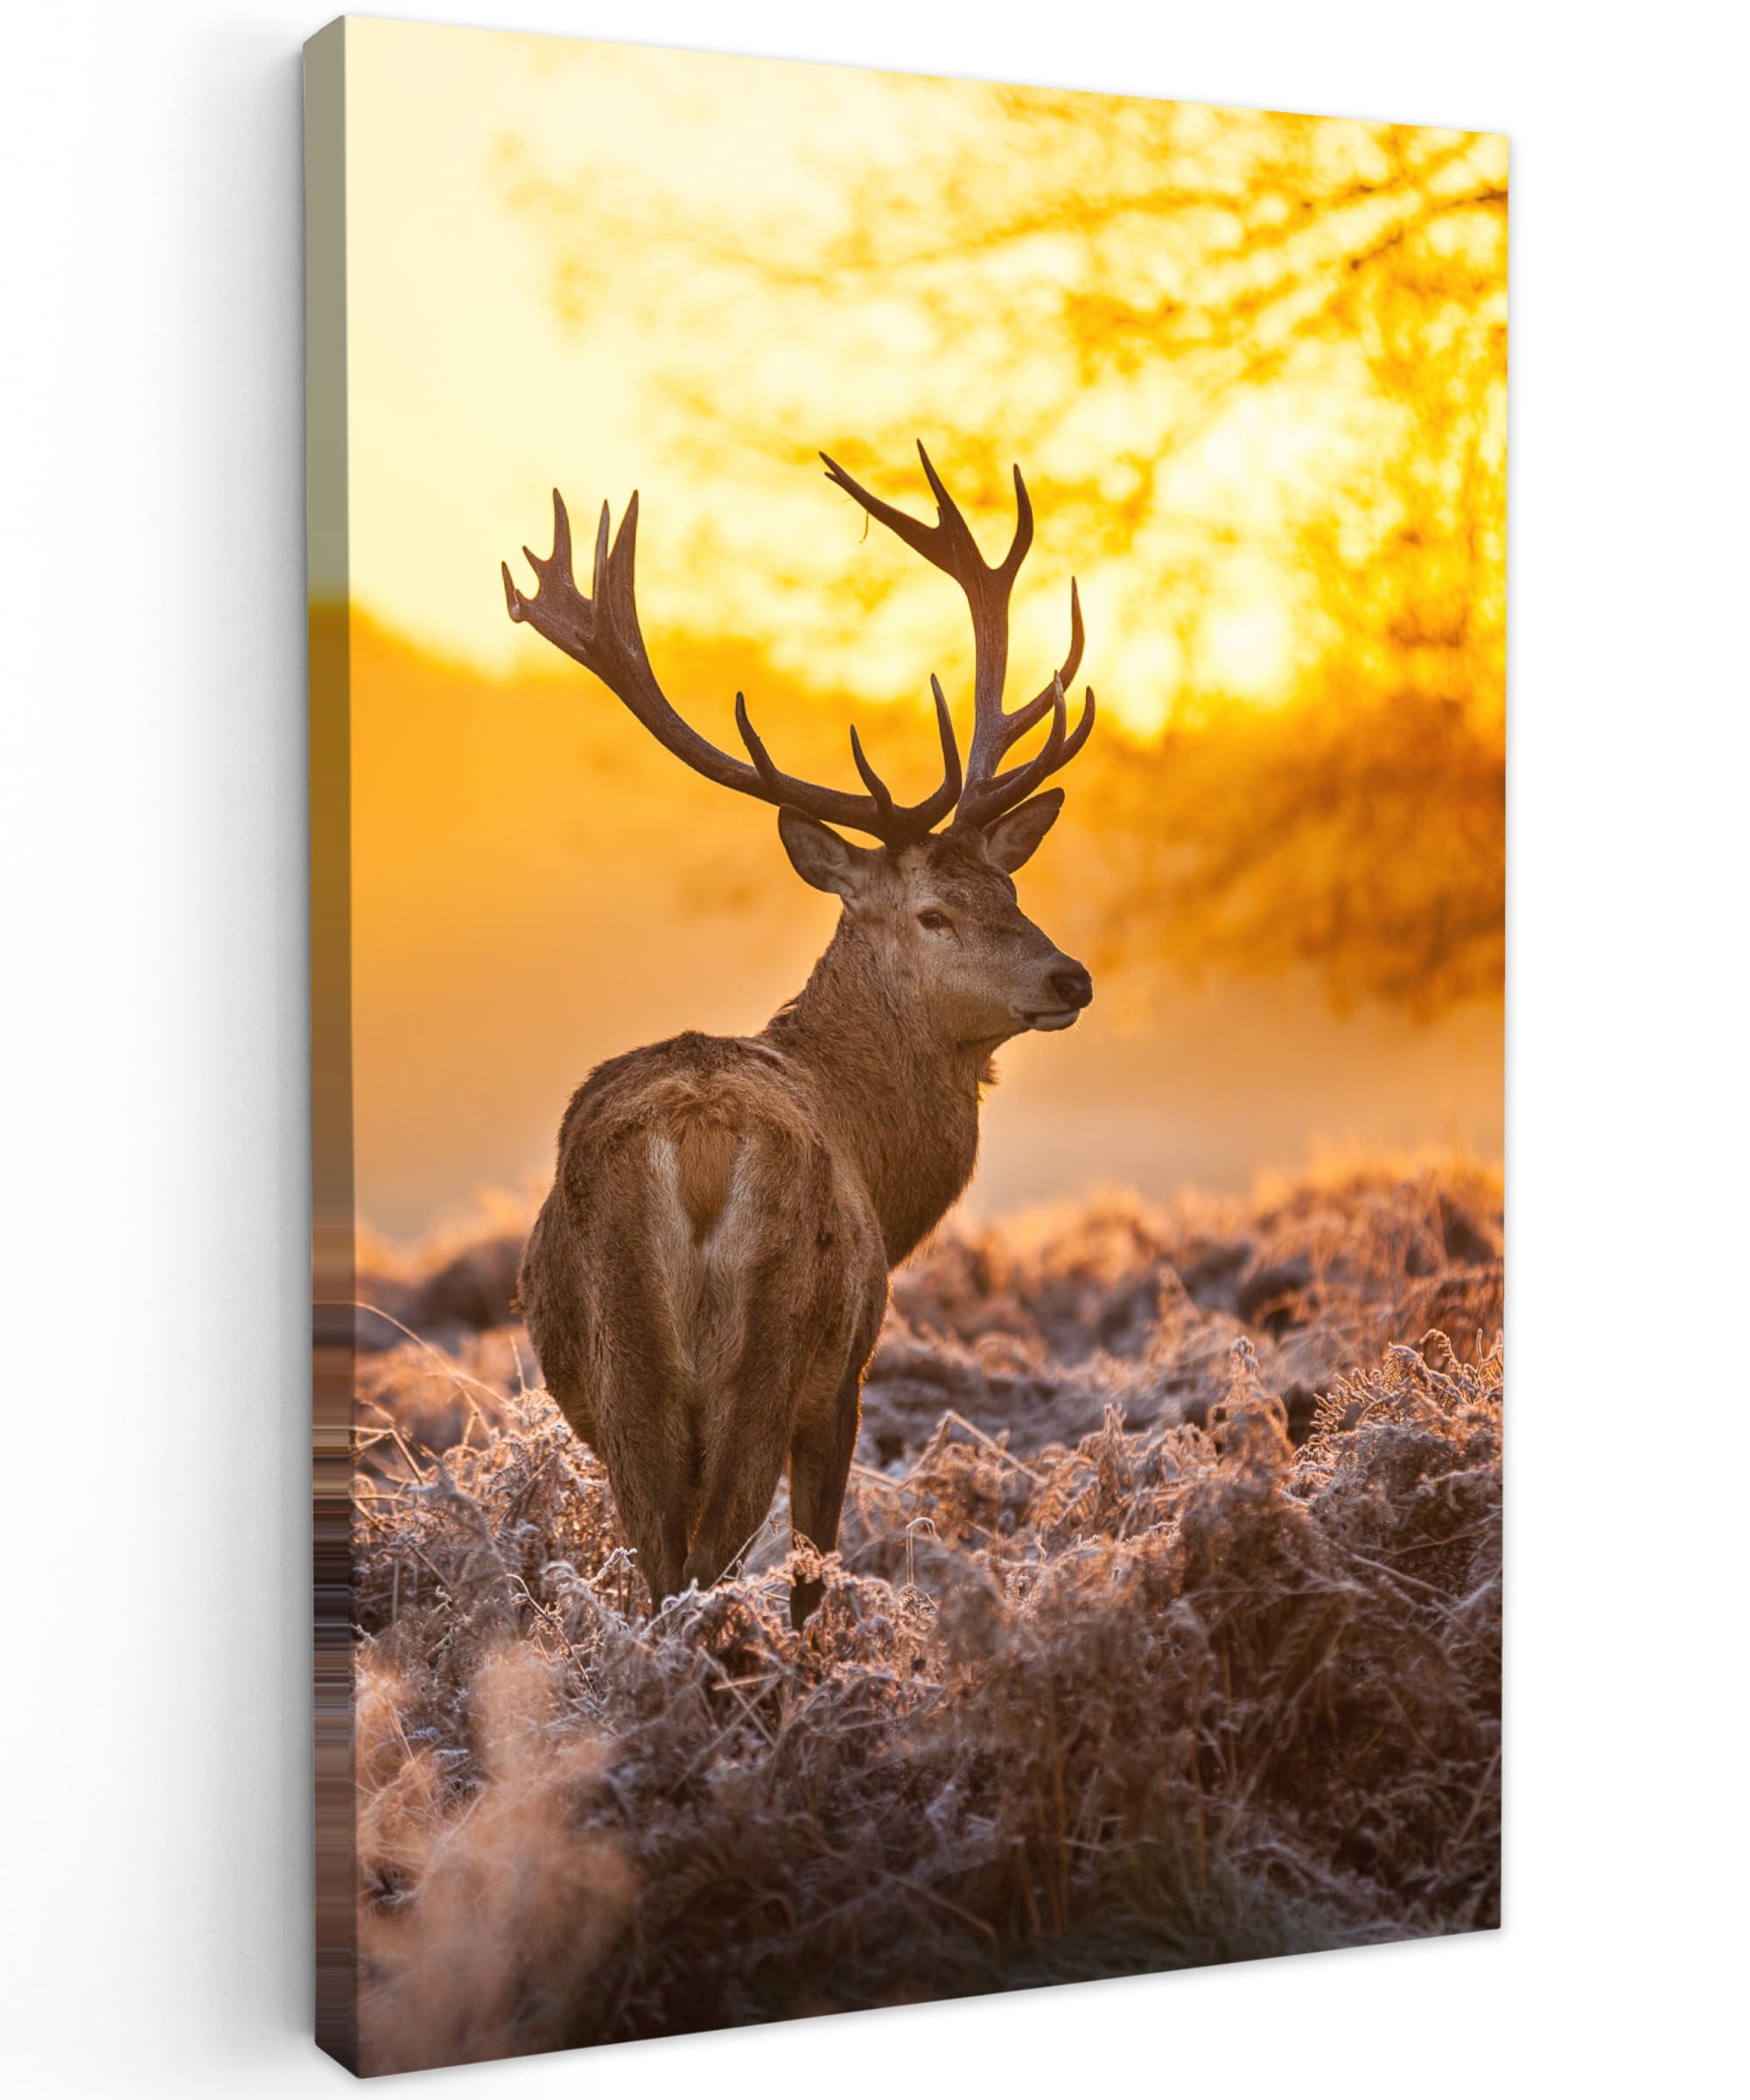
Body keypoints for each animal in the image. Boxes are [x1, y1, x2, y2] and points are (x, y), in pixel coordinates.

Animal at [501, 443, 1096, 1628]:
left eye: (1010, 886)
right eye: (933, 913)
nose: (1071, 976)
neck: (880, 1156)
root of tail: (694, 1145)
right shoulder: (847, 1373)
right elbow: (816, 1566)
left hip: (624, 1369)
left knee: (660, 1563)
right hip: (769, 1350)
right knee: (714, 1558)